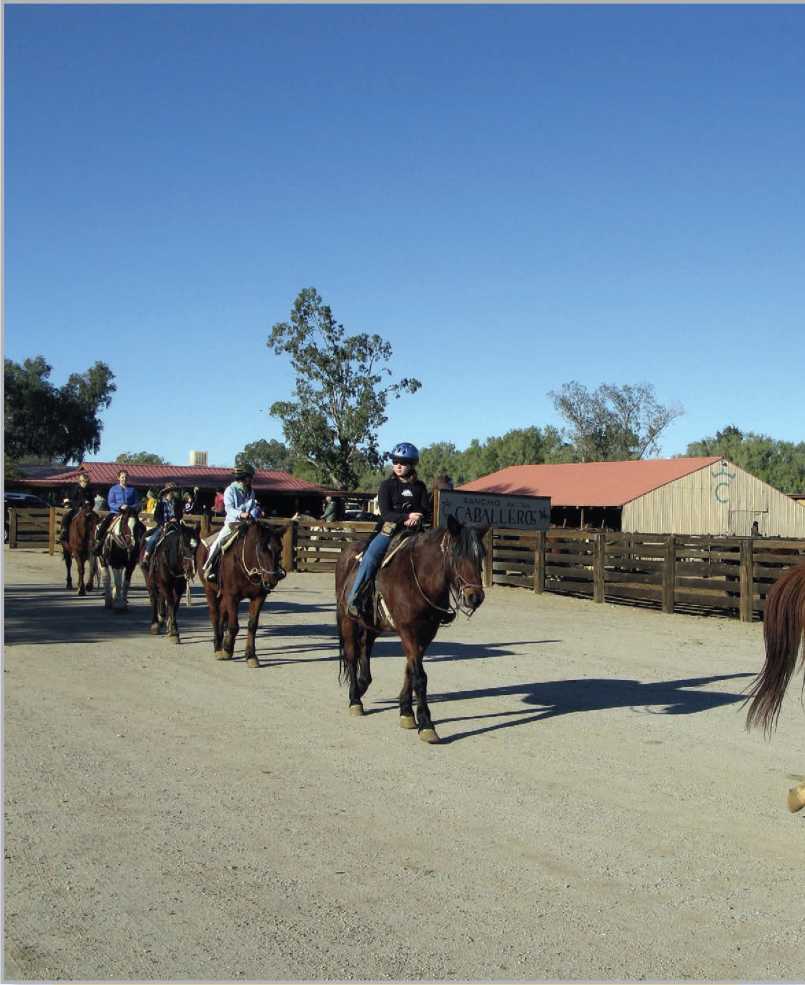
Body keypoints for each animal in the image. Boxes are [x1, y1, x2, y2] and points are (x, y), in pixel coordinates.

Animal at [196, 516, 288, 668]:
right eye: (261, 549)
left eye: (280, 549)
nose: (271, 580)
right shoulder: (232, 596)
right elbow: (234, 626)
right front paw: (228, 650)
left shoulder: (259, 597)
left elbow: (252, 625)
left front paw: (251, 656)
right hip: (210, 590)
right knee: (215, 615)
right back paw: (218, 648)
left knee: (222, 615)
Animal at [332, 516, 484, 736]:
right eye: (457, 554)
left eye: (481, 555)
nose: (475, 597)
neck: (418, 577)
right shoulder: (408, 631)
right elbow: (419, 676)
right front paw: (426, 724)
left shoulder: (426, 634)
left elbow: (410, 671)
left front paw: (406, 712)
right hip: (347, 620)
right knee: (352, 655)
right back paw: (355, 699)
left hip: (372, 624)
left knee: (366, 647)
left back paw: (362, 684)